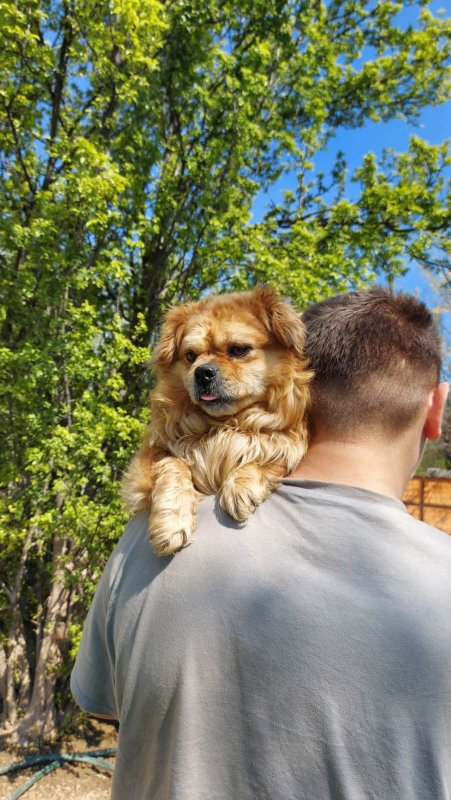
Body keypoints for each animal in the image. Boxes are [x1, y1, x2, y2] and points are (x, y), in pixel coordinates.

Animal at [122, 286, 313, 556]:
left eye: (238, 350)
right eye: (190, 356)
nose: (203, 371)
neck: (223, 425)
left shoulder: (289, 444)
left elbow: (269, 455)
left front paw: (241, 485)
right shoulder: (147, 461)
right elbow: (173, 464)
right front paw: (172, 523)